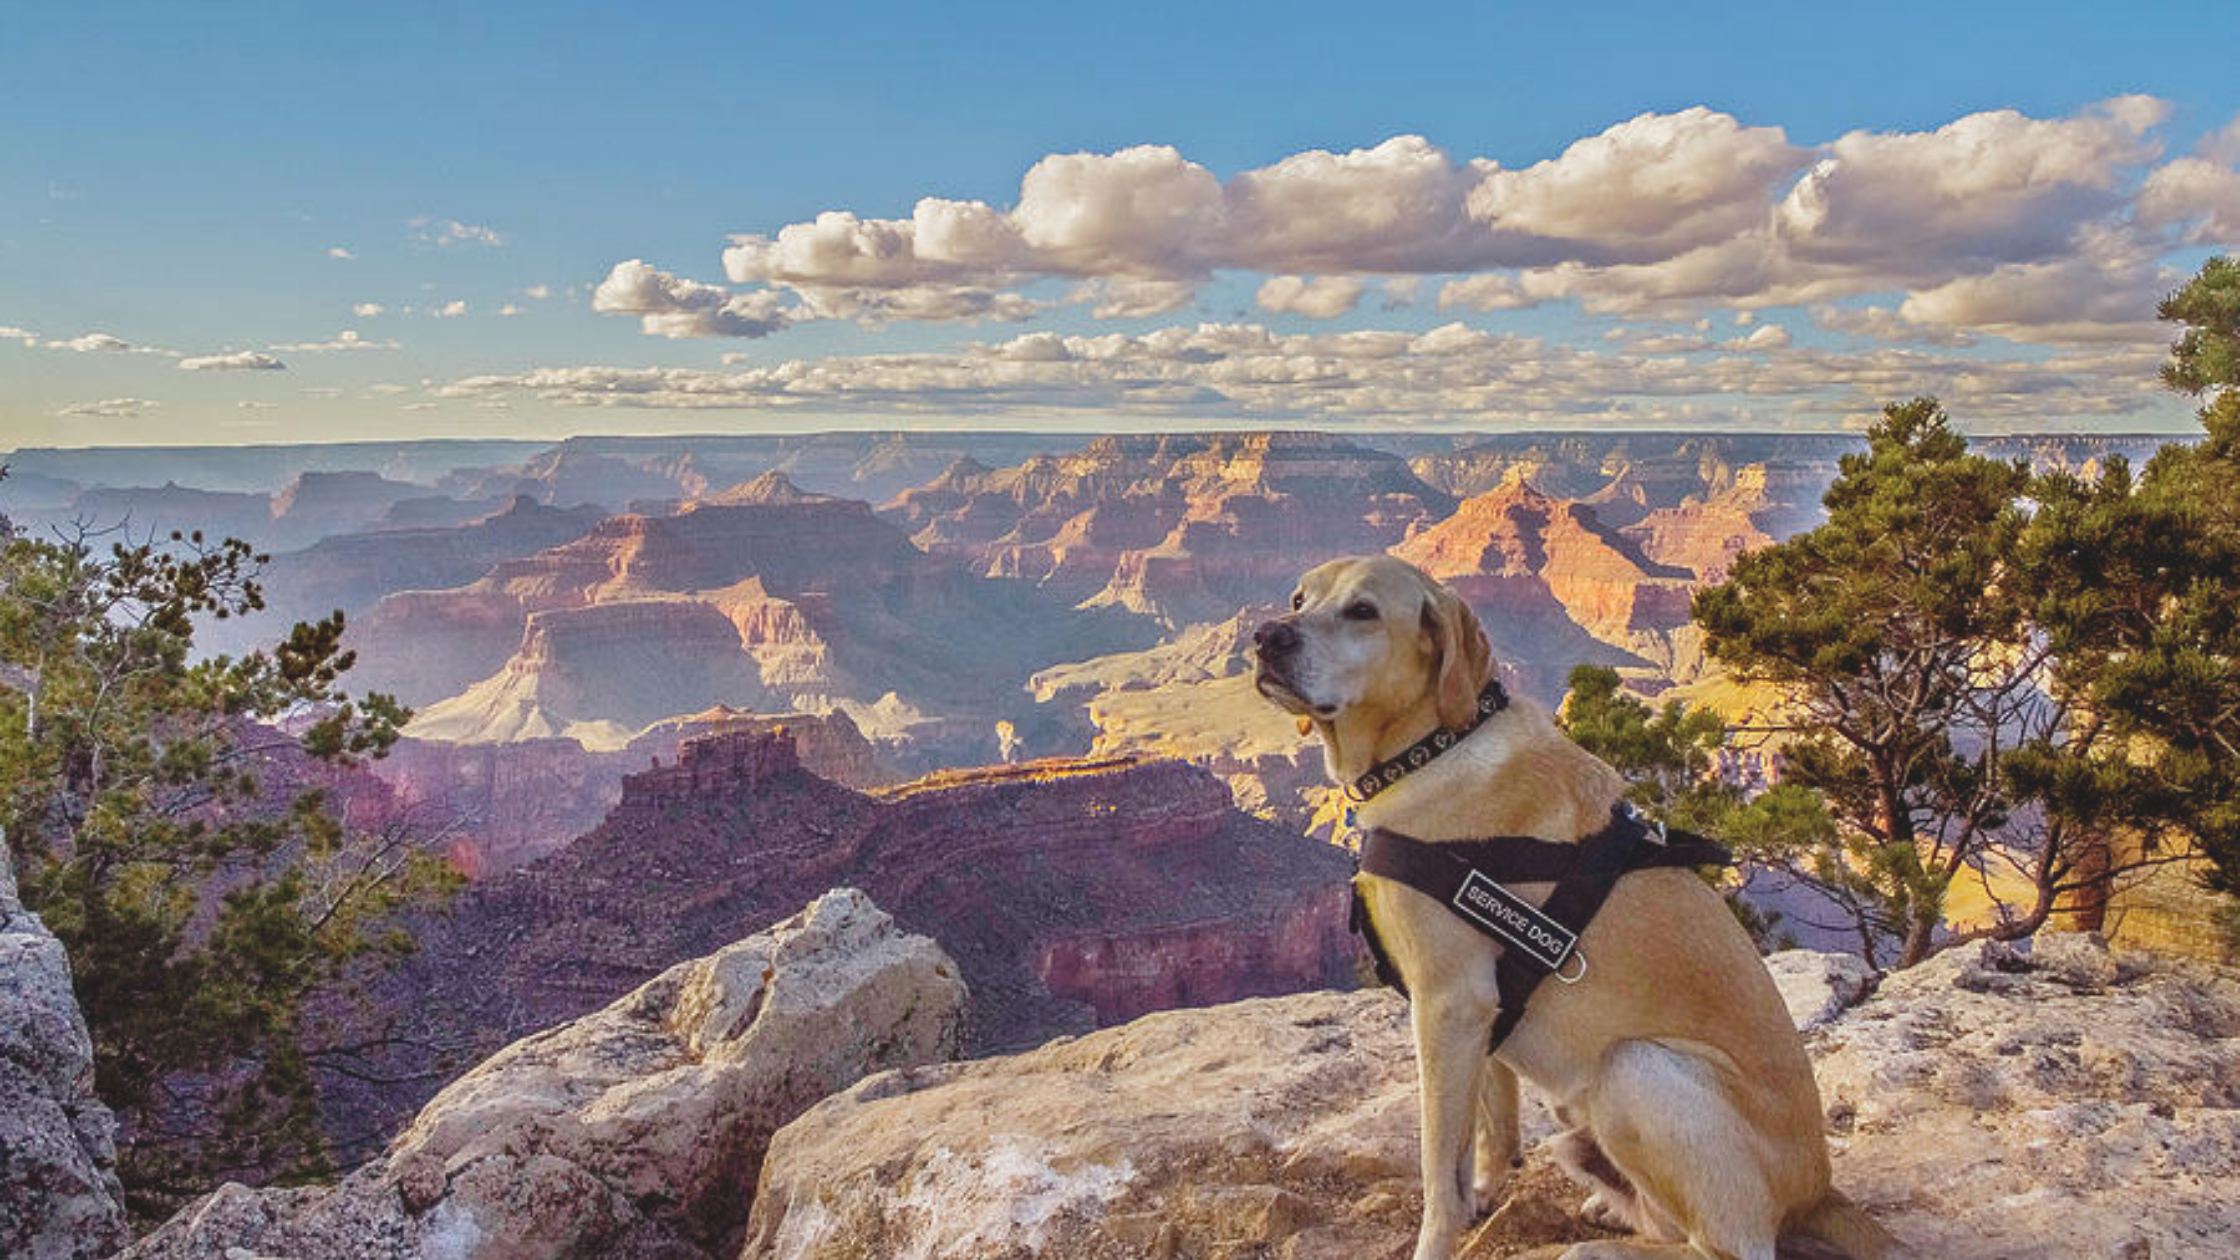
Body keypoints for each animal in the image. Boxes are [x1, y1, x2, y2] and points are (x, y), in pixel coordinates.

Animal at [1254, 556, 1899, 1255]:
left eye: (1363, 611)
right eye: (1299, 598)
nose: (1265, 636)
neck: (1433, 747)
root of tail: (1817, 1191)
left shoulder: (1448, 1001)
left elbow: (1437, 1165)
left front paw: (1437, 1238)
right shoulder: (1483, 1010)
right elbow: (1491, 1125)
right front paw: (1483, 1194)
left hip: (1637, 1069)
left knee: (1727, 1246)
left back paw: (1602, 1246)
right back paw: (1611, 1211)